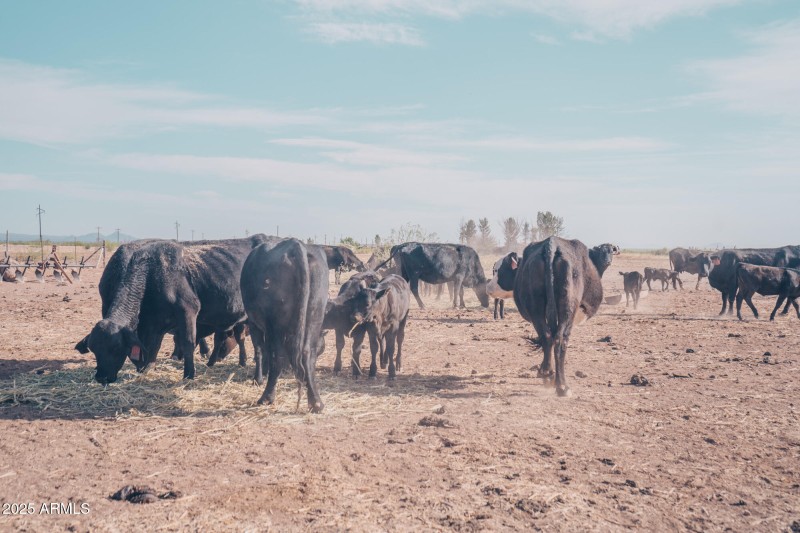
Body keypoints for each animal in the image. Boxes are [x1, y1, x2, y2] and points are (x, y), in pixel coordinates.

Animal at [75, 235, 276, 384]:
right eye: (93, 348)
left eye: (116, 348)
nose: (101, 377)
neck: (152, 272)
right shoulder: (154, 321)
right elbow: (153, 346)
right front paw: (147, 368)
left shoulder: (187, 310)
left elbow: (188, 342)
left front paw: (189, 374)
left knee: (244, 338)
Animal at [241, 239, 329, 413]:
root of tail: (296, 245)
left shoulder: (254, 324)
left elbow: (259, 350)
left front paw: (258, 378)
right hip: (315, 315)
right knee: (307, 354)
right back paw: (315, 402)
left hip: (274, 325)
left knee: (277, 356)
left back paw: (266, 397)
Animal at [503, 237, 619, 397]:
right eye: (603, 252)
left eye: (610, 252)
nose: (607, 261)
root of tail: (551, 245)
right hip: (568, 308)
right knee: (560, 339)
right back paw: (562, 385)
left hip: (536, 307)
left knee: (547, 336)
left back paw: (547, 374)